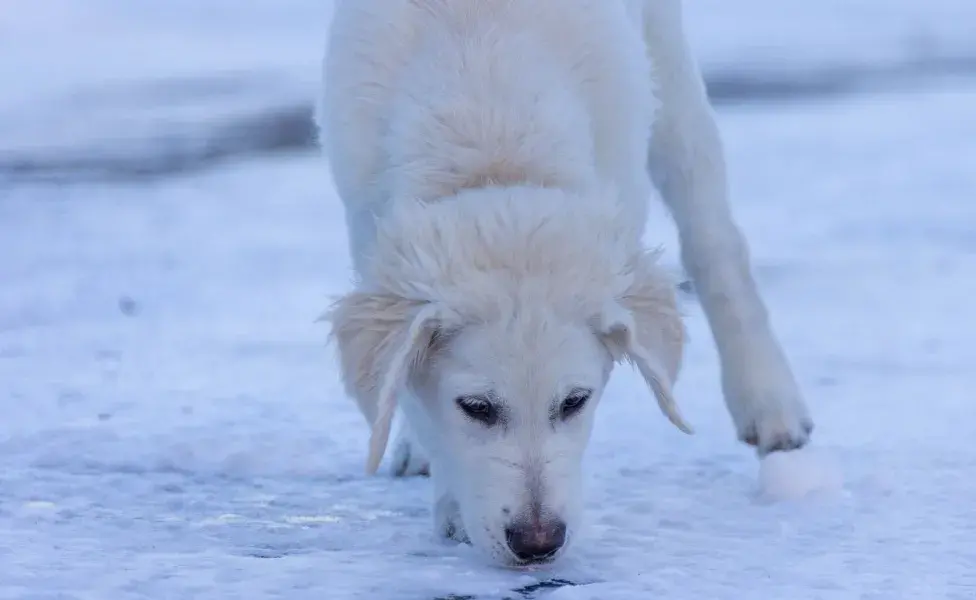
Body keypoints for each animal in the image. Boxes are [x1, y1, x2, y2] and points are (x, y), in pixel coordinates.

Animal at [316, 0, 812, 564]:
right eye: (476, 408)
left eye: (575, 402)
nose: (538, 543)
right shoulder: (368, 224)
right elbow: (409, 393)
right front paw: (447, 496)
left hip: (668, 71)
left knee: (714, 236)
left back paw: (771, 406)